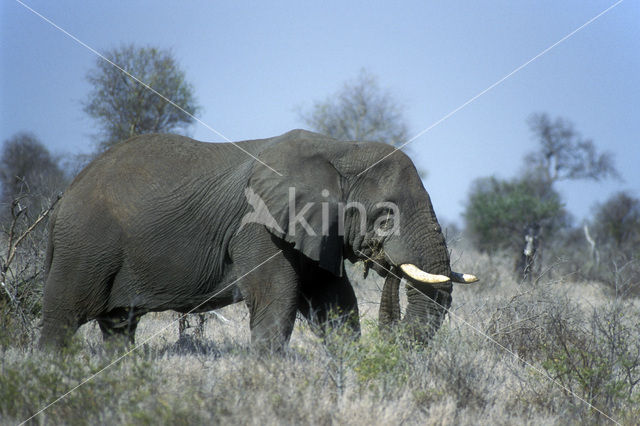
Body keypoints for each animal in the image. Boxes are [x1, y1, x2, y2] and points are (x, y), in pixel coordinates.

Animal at [38, 129, 476, 350]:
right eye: (386, 216)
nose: (386, 265)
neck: (341, 148)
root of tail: (60, 202)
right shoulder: (258, 227)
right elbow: (277, 300)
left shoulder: (316, 231)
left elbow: (336, 305)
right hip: (85, 246)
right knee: (63, 318)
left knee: (118, 326)